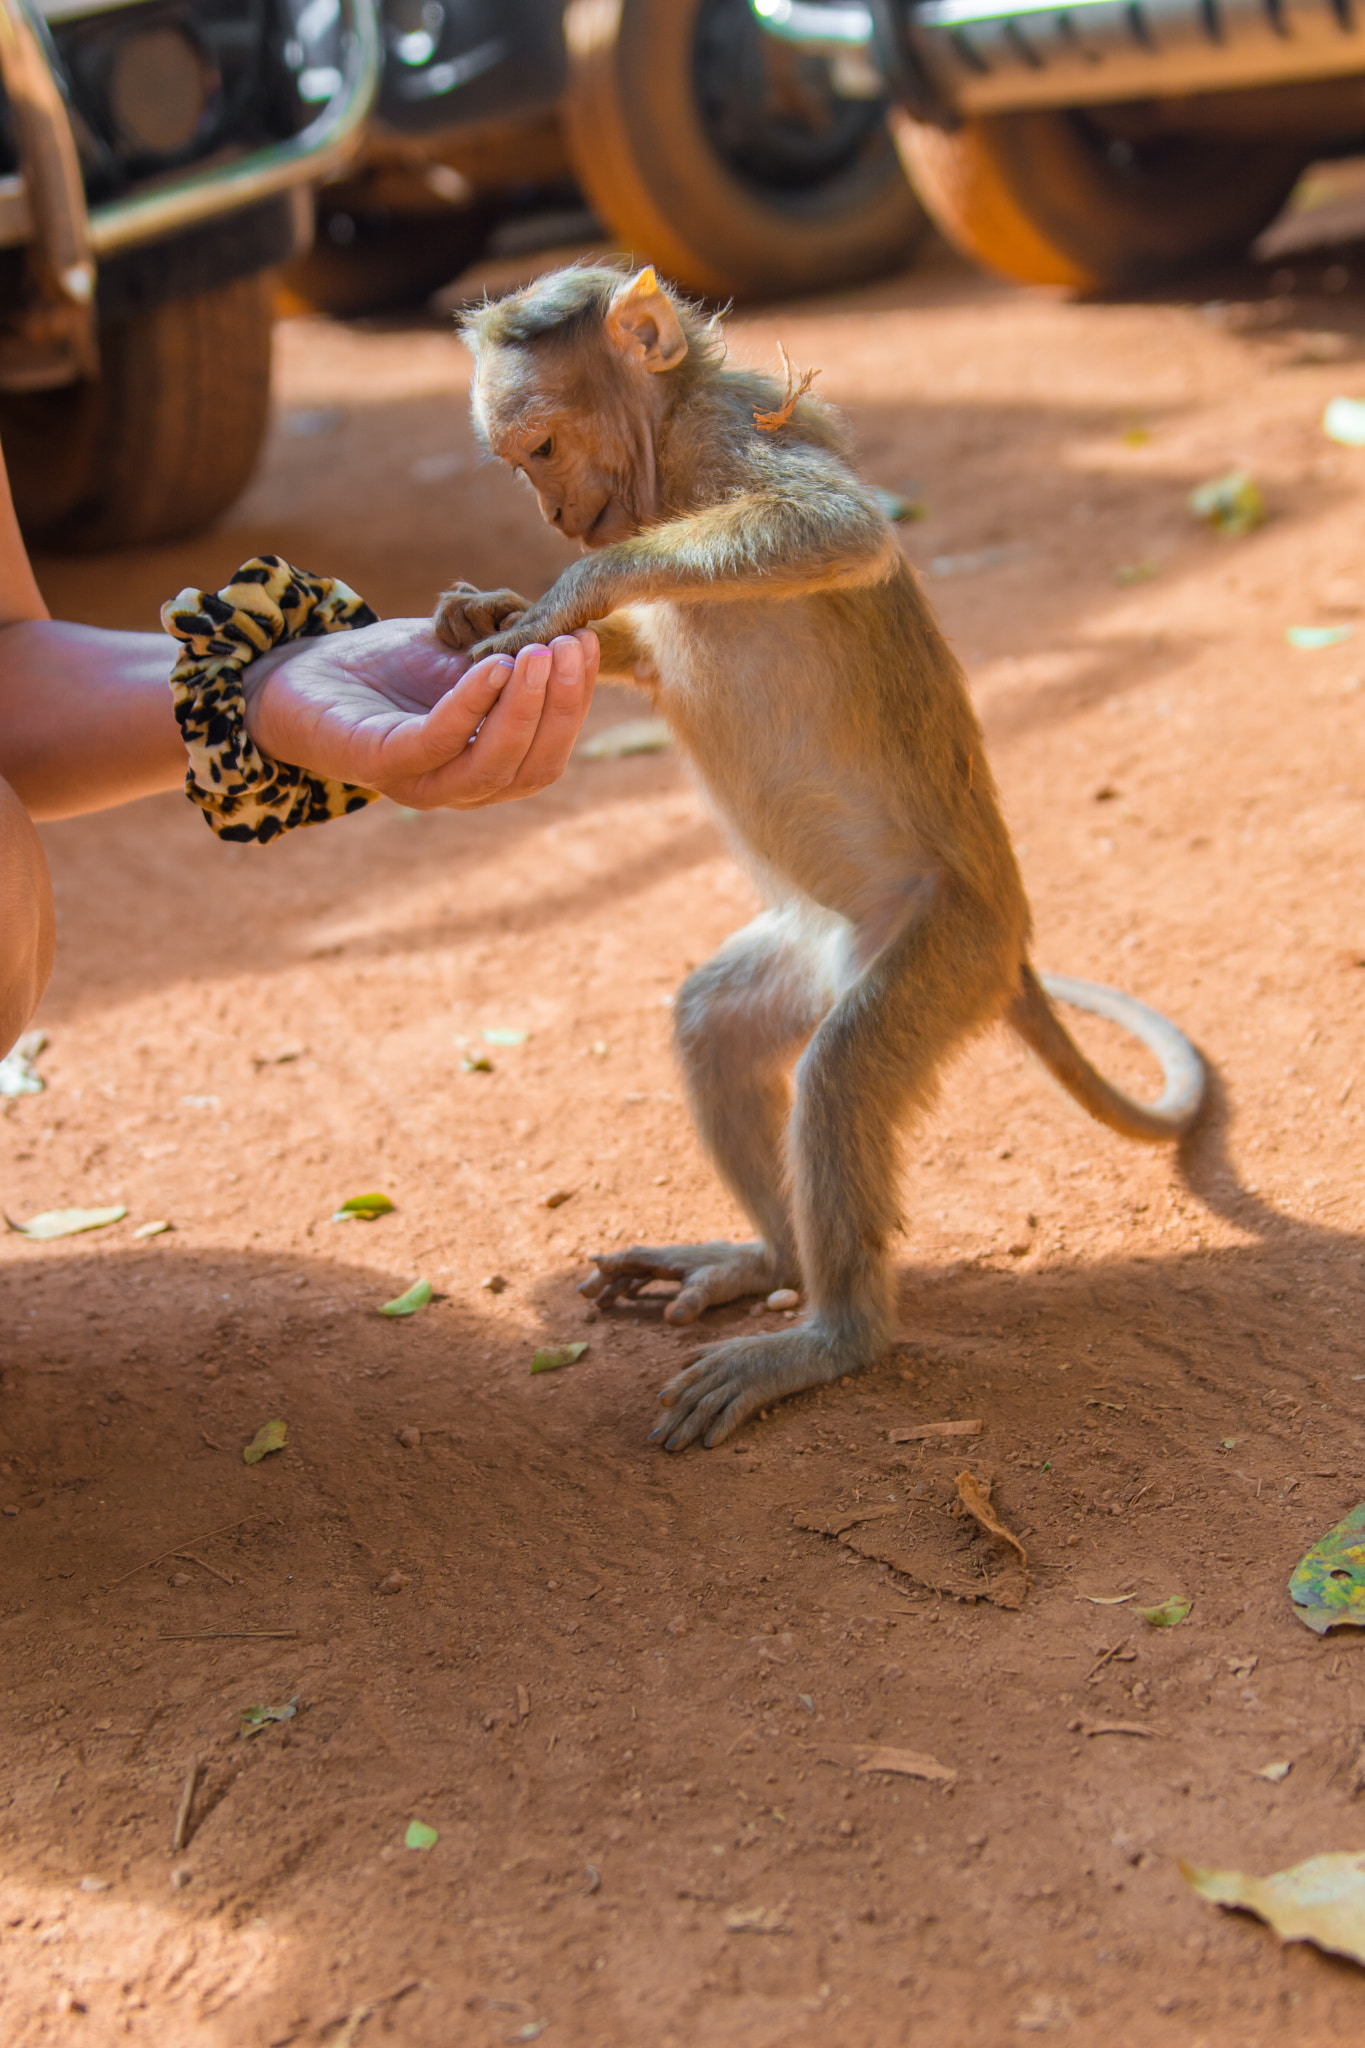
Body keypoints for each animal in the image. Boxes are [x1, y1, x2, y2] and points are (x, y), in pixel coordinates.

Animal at [437, 264, 1203, 1458]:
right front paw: (495, 612)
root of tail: (1012, 946)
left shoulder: (729, 439)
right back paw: (768, 1261)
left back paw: (832, 1337)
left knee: (839, 1073)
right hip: (823, 946)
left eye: (545, 447)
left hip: (943, 950)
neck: (669, 455)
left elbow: (836, 526)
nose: (552, 516)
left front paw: (570, 591)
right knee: (714, 1024)